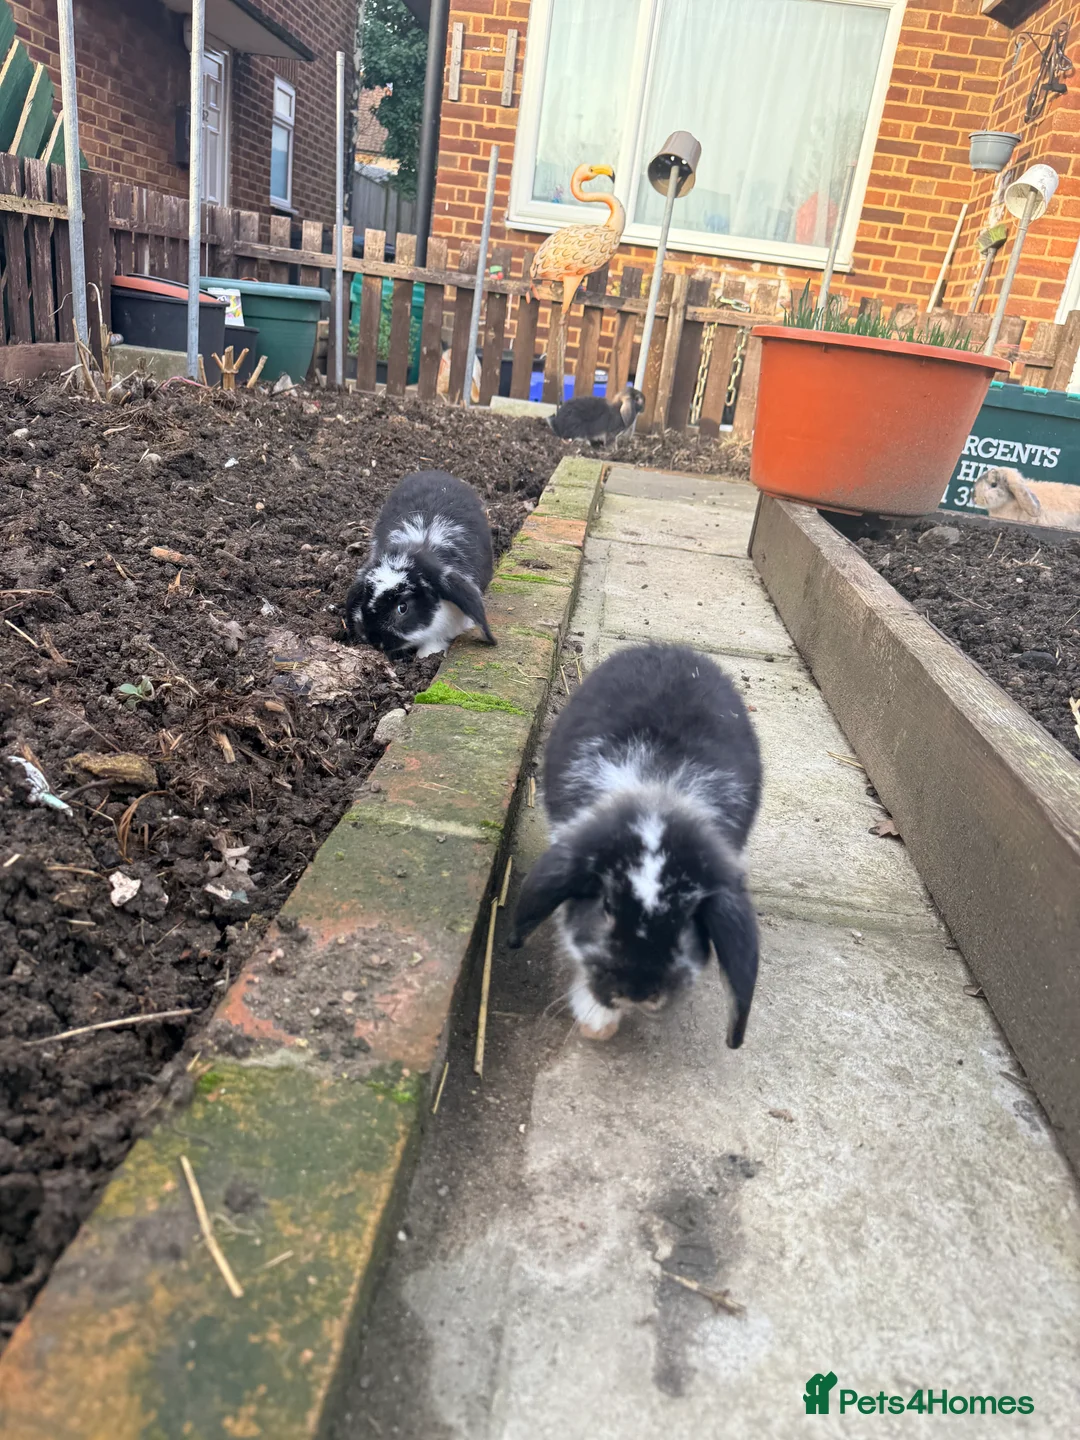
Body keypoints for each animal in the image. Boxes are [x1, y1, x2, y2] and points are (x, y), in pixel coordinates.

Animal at [344, 470, 496, 658]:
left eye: (403, 607)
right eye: (366, 596)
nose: (373, 638)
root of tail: (437, 473)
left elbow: (433, 644)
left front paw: (425, 657)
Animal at [510, 643, 762, 1048]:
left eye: (688, 920)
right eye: (606, 906)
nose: (636, 992)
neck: (656, 790)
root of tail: (670, 649)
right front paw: (596, 1020)